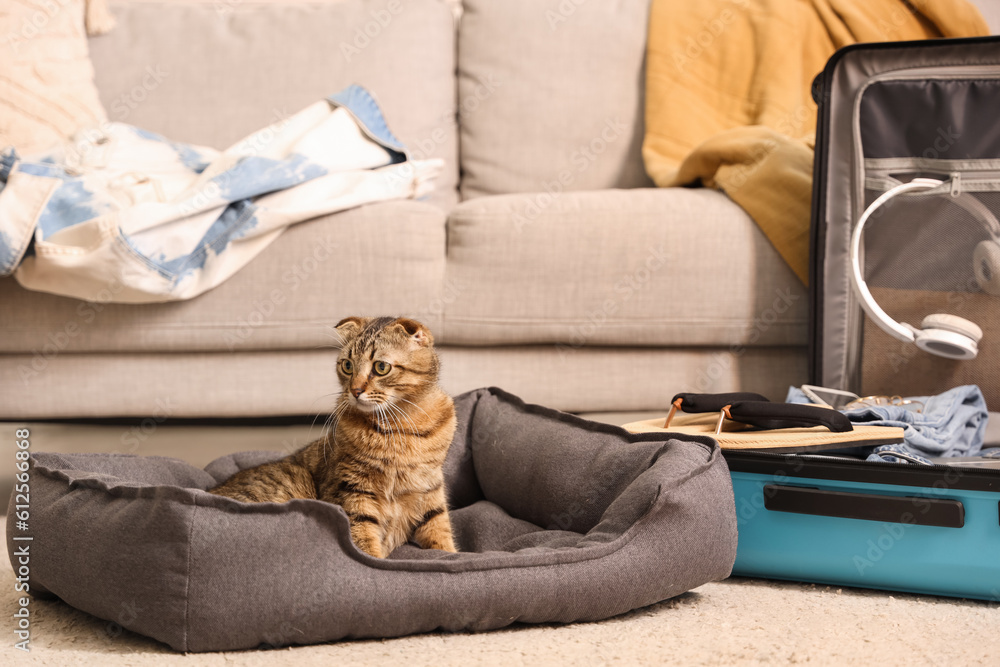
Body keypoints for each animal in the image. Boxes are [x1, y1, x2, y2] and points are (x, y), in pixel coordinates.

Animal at [213, 318, 462, 560]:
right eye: (347, 365)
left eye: (381, 367)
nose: (355, 390)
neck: (401, 425)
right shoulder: (354, 491)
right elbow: (364, 543)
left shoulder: (431, 491)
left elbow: (441, 535)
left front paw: (450, 553)